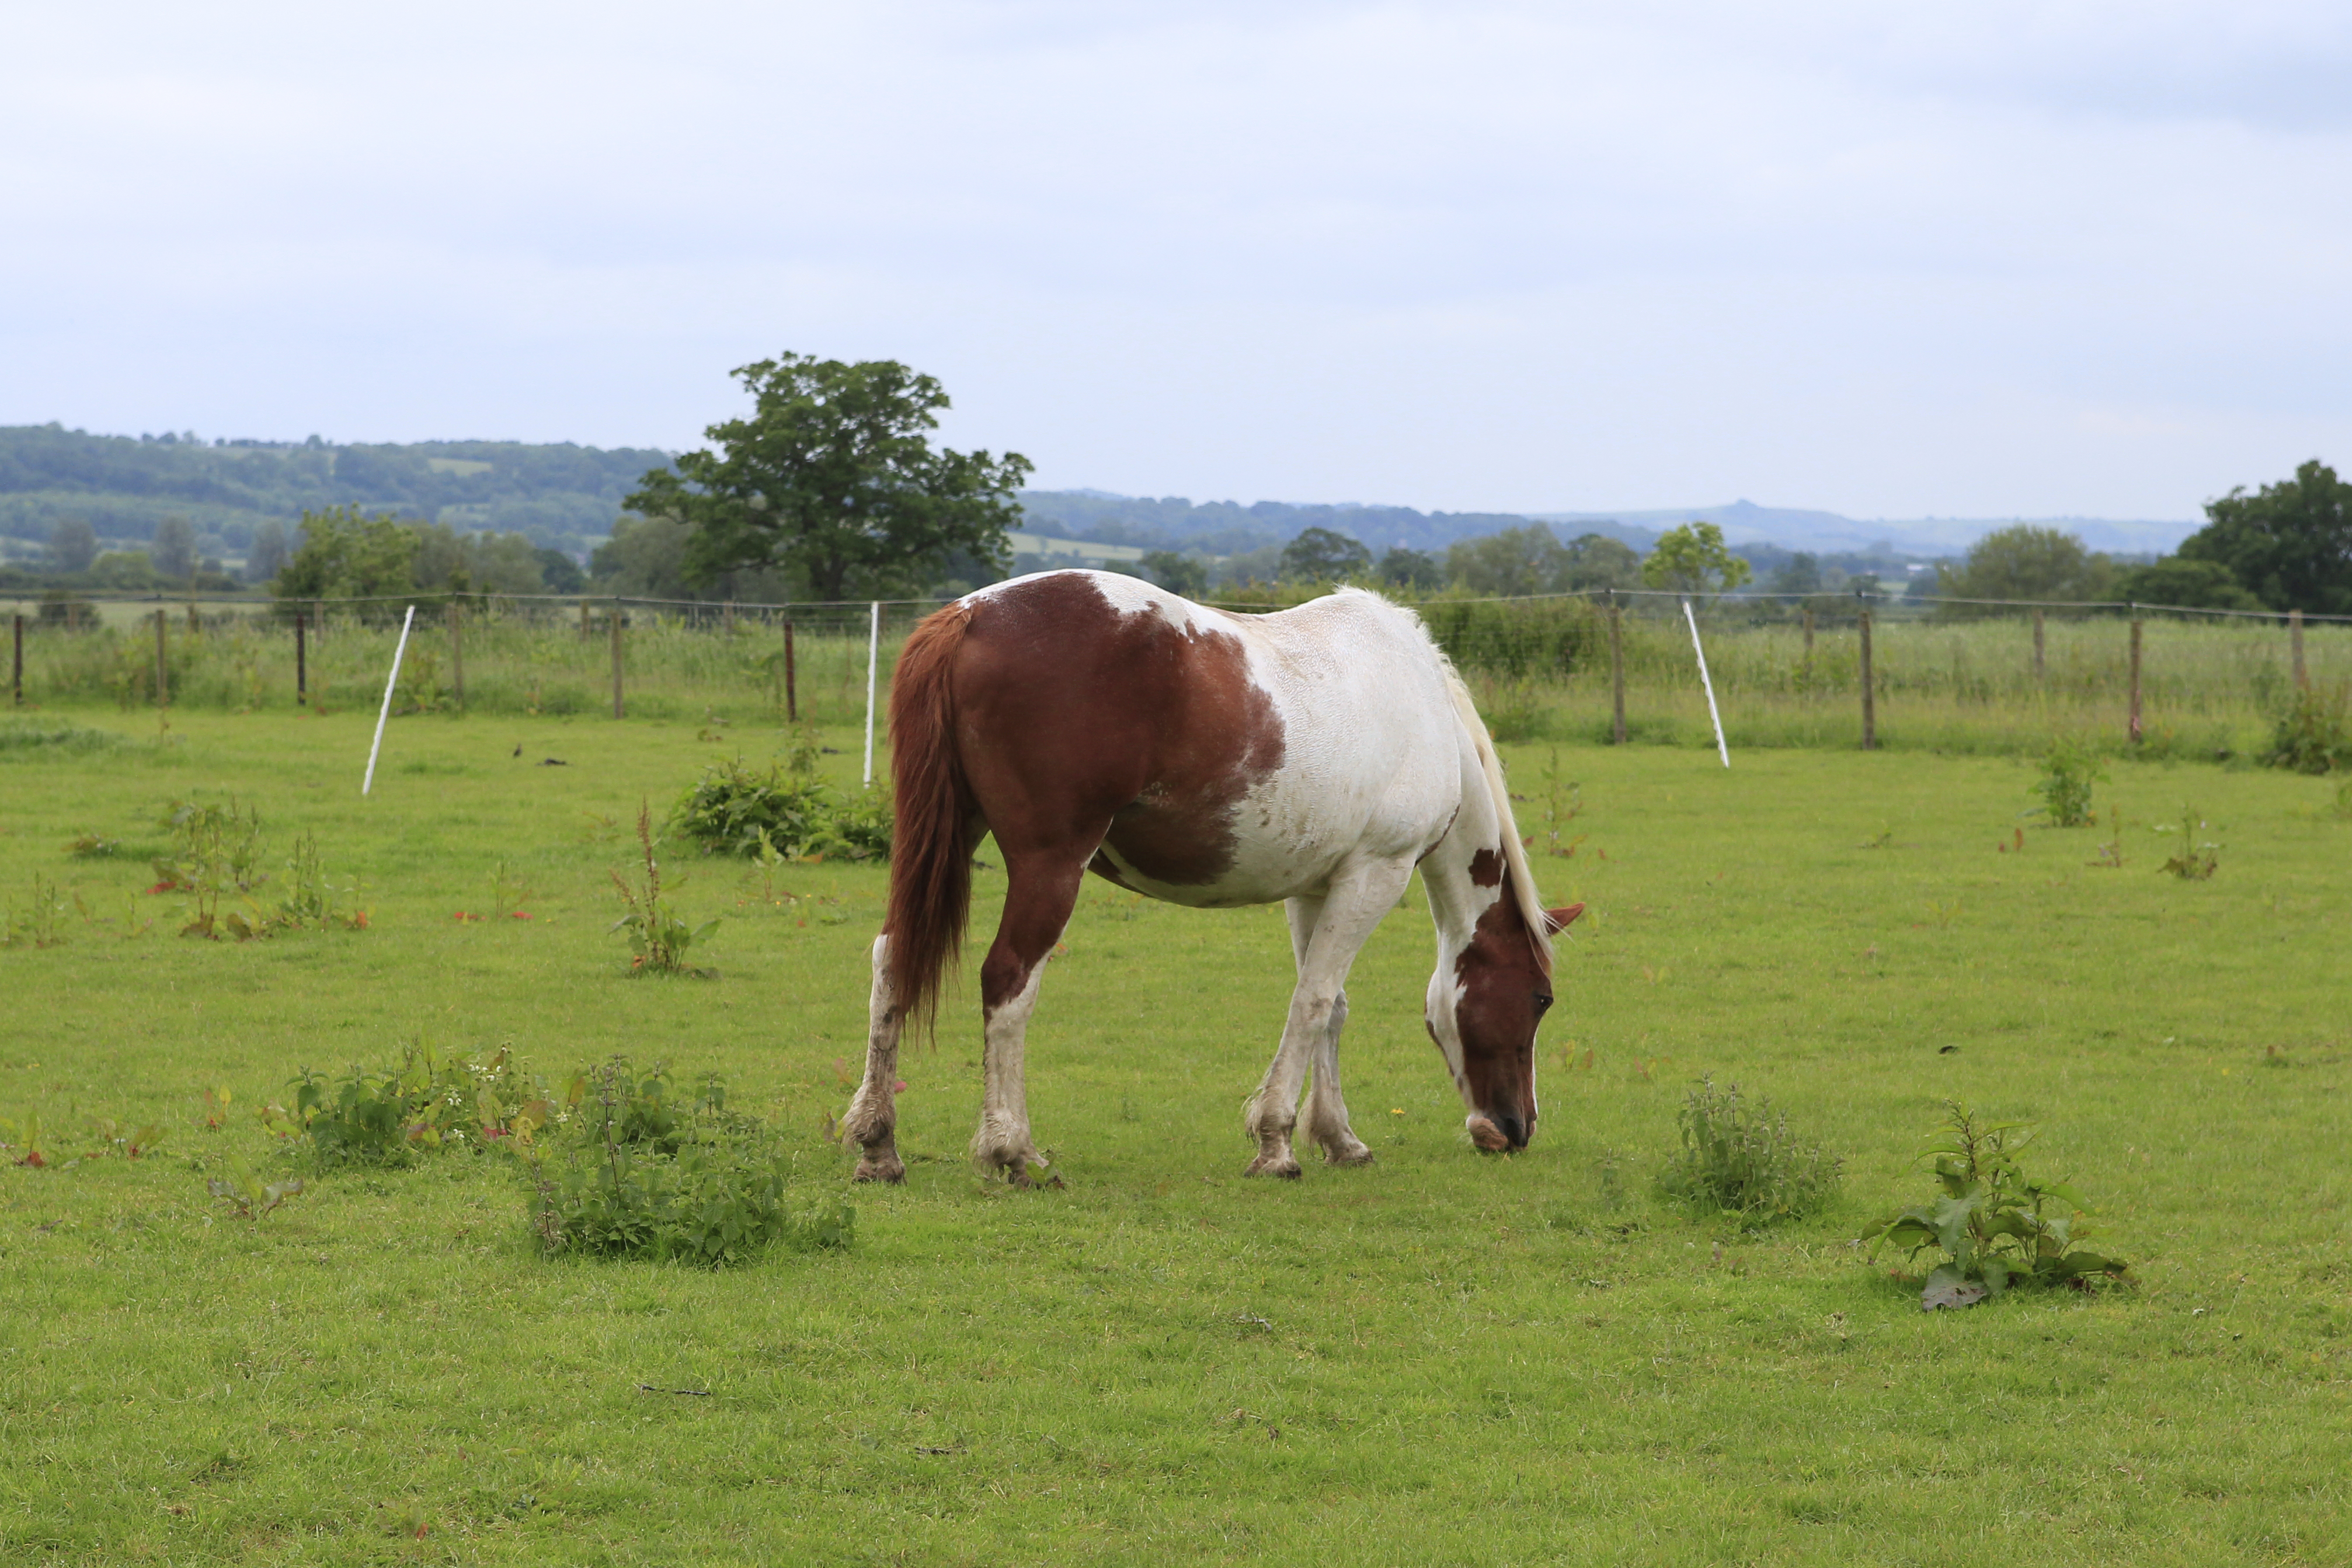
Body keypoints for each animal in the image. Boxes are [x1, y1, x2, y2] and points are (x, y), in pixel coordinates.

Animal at [837, 571, 1571, 1184]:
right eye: (1540, 999)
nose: (1515, 1128)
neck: (1419, 702)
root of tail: (969, 615)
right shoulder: (1375, 874)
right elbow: (1310, 1004)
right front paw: (1275, 1143)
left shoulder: (1317, 886)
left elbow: (1329, 1007)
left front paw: (1338, 1138)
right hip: (1050, 866)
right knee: (1008, 978)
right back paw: (1012, 1149)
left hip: (952, 836)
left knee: (890, 960)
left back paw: (879, 1145)